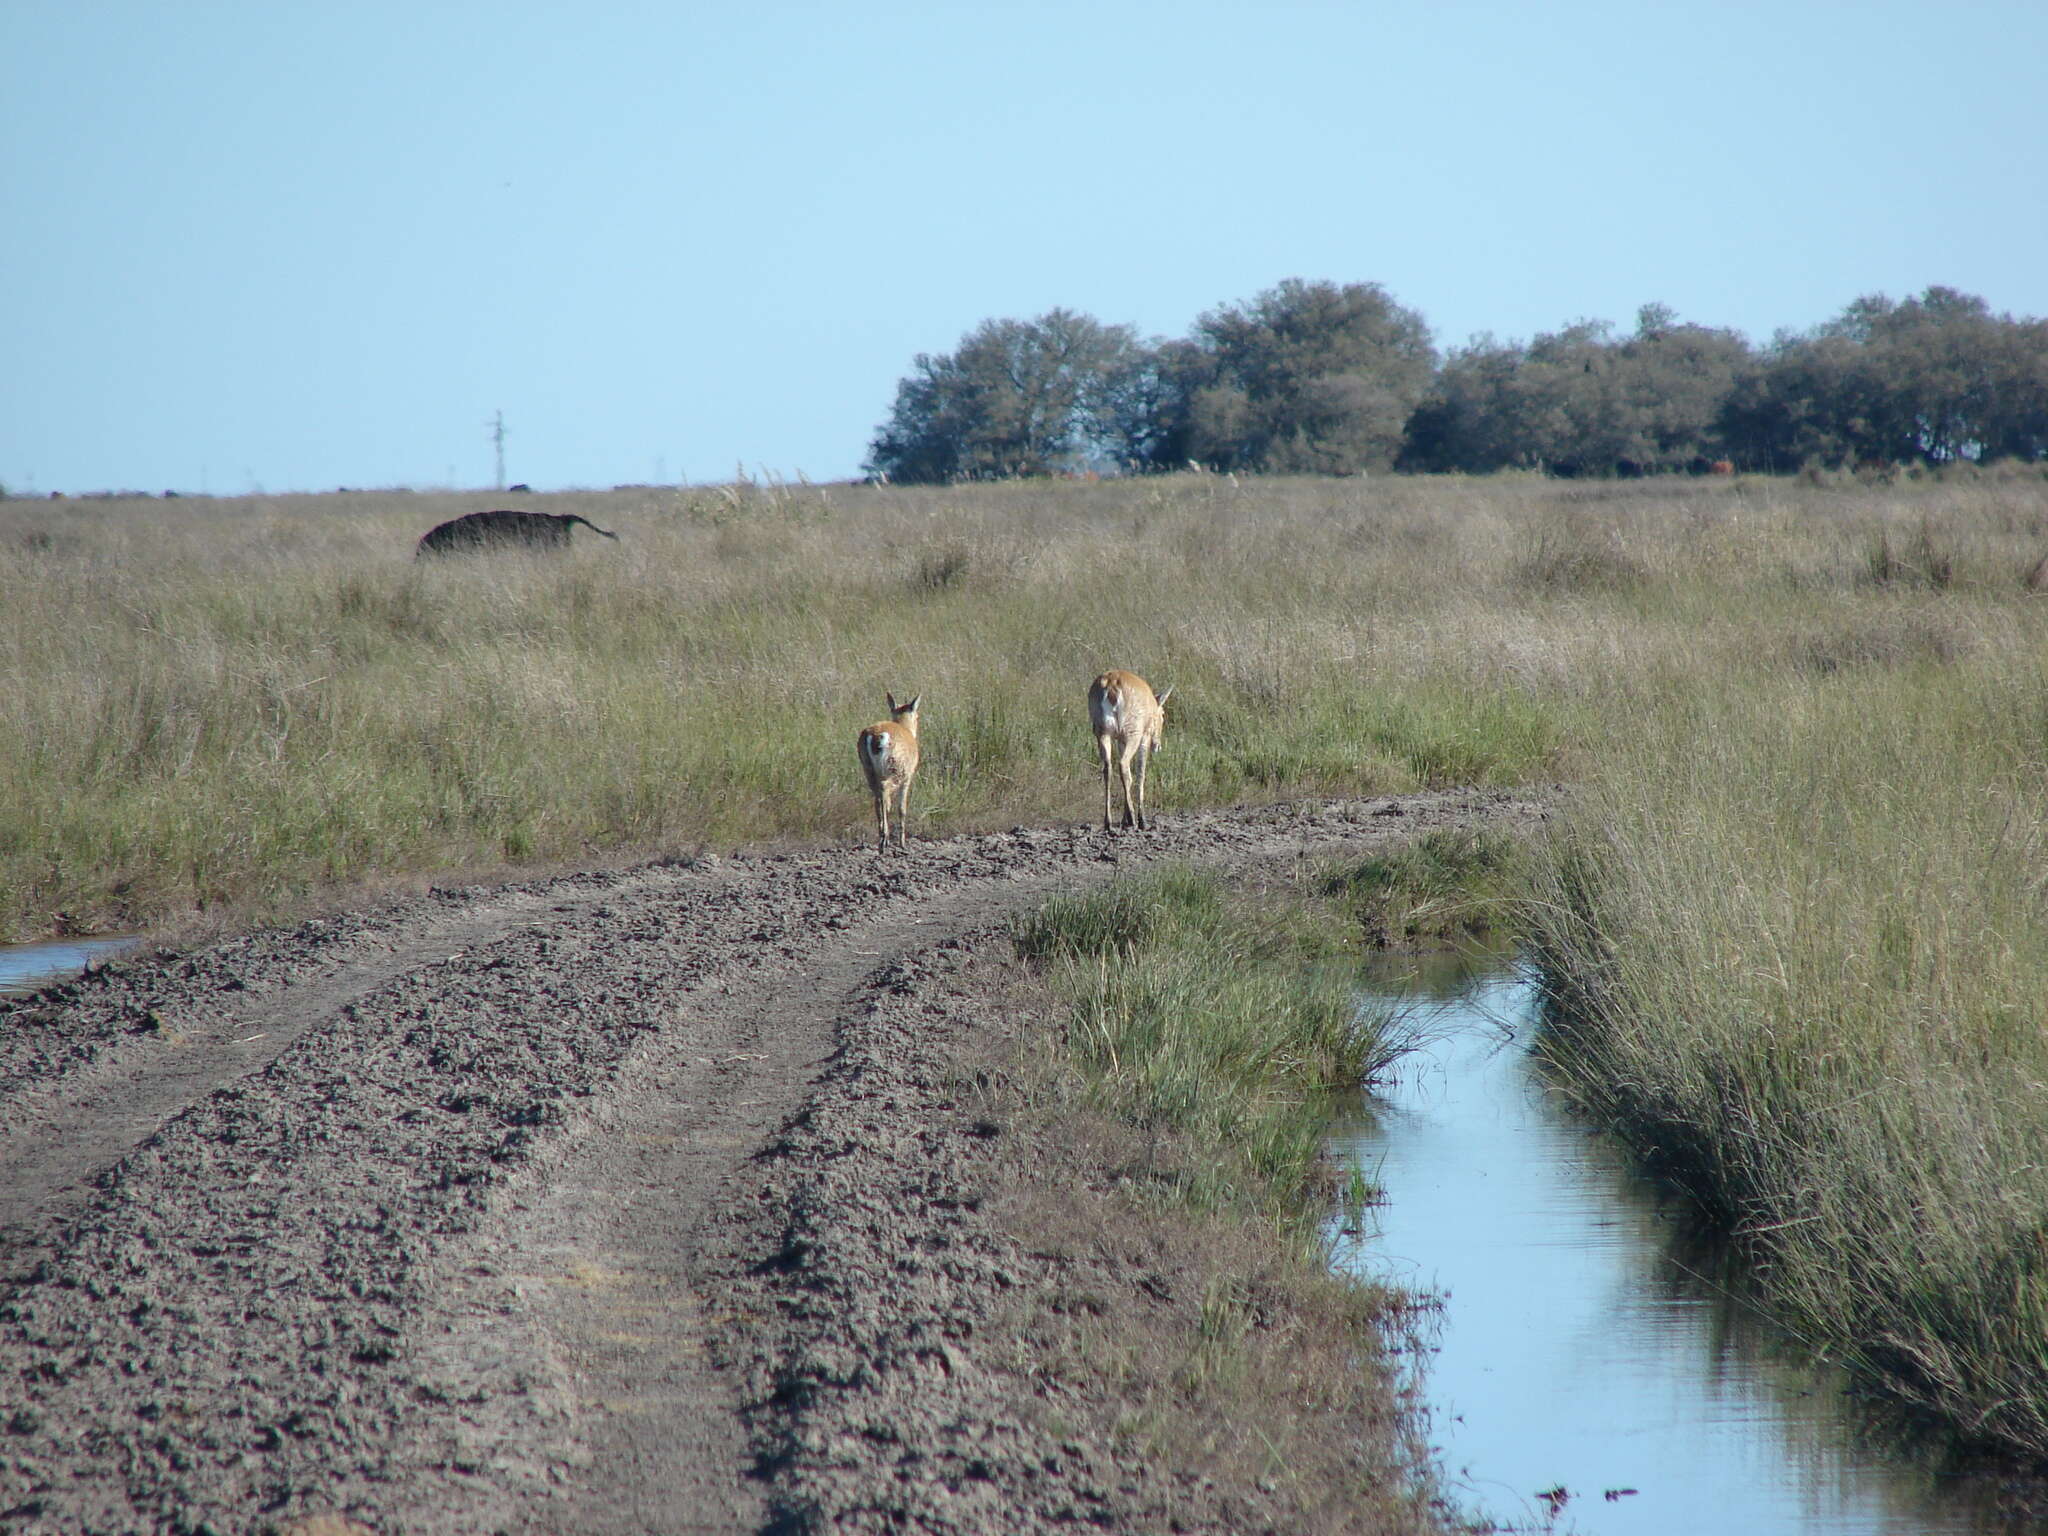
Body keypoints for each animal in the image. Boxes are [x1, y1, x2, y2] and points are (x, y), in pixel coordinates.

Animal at [856, 696, 921, 856]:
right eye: (917, 716)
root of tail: (874, 736)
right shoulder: (907, 777)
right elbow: (902, 808)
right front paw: (903, 844)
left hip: (868, 769)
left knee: (877, 798)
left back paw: (882, 839)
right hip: (893, 769)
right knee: (884, 794)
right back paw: (883, 841)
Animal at [1089, 671, 1171, 835]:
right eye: (1163, 714)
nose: (1157, 746)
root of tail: (1111, 683)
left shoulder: (1120, 741)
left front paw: (1124, 819)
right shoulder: (1144, 738)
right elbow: (1141, 773)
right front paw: (1141, 820)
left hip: (1102, 734)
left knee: (1108, 768)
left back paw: (1108, 823)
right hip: (1133, 734)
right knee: (1124, 765)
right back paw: (1135, 820)